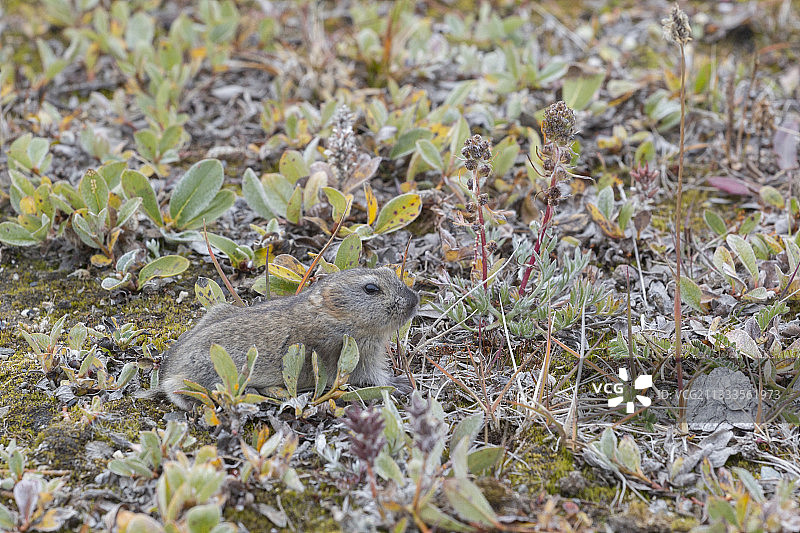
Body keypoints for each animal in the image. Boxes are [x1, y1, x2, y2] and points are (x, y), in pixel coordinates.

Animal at [139, 267, 419, 409]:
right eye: (371, 289)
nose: (415, 300)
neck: (335, 316)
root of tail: (168, 372)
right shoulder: (357, 357)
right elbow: (376, 378)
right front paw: (403, 384)